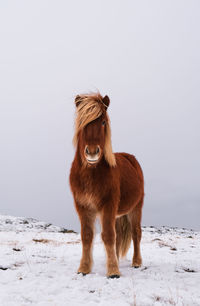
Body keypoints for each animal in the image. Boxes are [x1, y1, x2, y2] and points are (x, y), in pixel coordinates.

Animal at [69, 92, 145, 278]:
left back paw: (136, 262)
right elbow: (87, 235)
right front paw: (84, 268)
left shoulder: (108, 205)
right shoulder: (82, 206)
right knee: (118, 236)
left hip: (136, 208)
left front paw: (113, 271)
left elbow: (108, 236)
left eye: (103, 121)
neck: (91, 174)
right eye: (82, 122)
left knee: (136, 233)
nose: (92, 153)